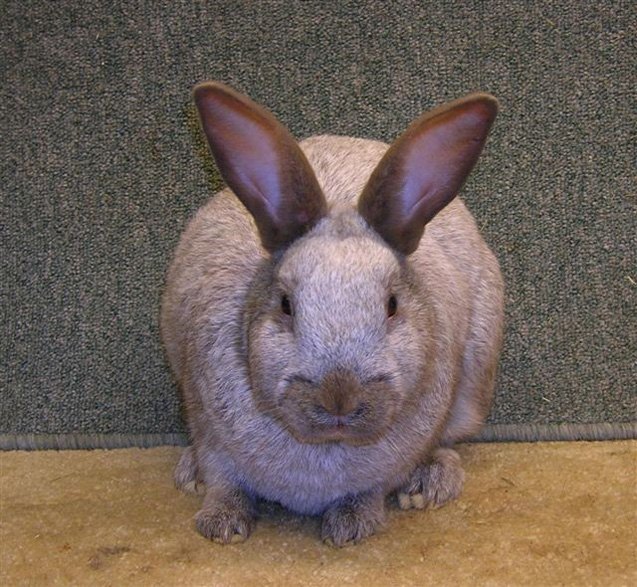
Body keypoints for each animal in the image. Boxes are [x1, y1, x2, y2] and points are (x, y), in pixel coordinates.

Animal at [161, 81, 504, 548]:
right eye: (286, 304)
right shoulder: (207, 424)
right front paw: (221, 525)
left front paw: (351, 526)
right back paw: (190, 472)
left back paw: (429, 483)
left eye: (392, 305)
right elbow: (223, 480)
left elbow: (370, 491)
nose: (339, 398)